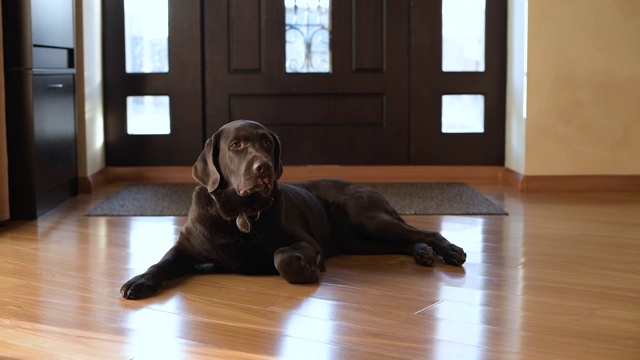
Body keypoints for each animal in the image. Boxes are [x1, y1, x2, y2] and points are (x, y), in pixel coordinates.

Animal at [120, 119, 468, 300]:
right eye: (236, 145)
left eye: (267, 143)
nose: (263, 168)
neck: (240, 216)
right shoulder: (185, 248)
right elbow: (161, 263)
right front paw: (140, 280)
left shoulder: (307, 243)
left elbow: (281, 256)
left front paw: (305, 270)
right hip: (360, 242)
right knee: (405, 240)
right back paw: (422, 252)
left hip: (368, 218)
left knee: (425, 231)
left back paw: (449, 251)